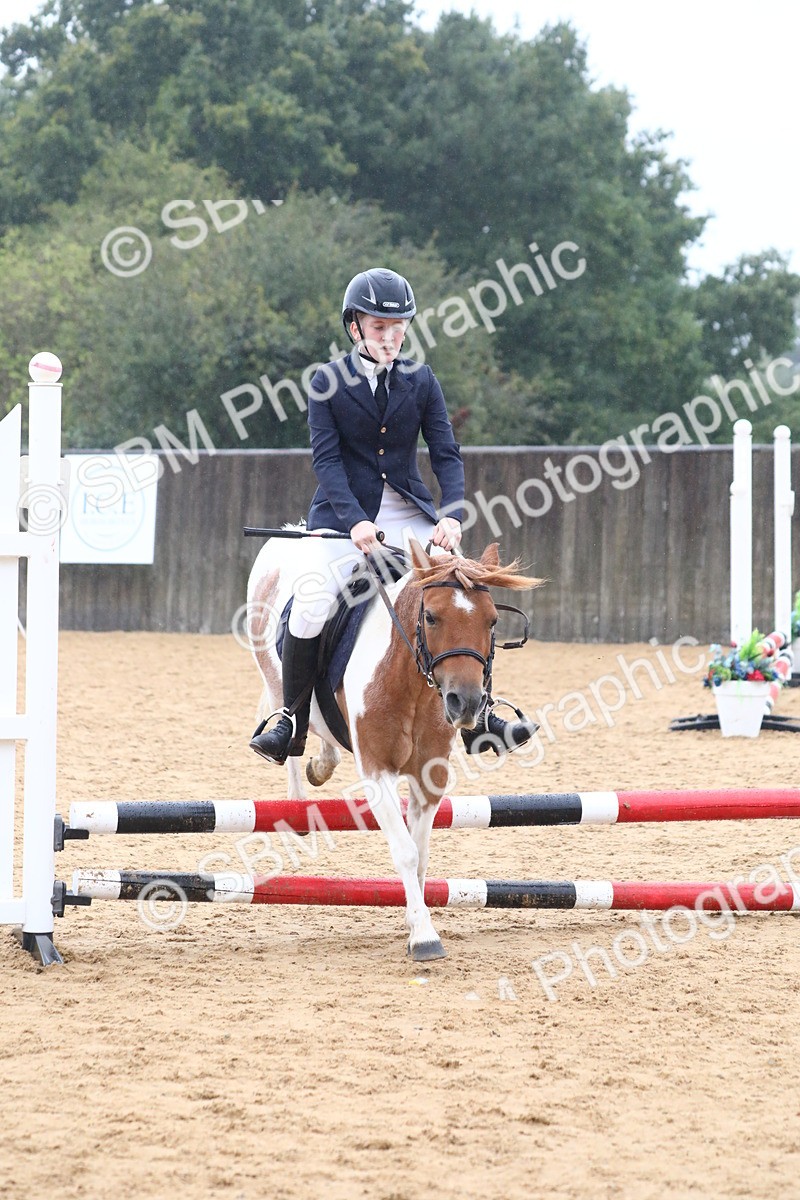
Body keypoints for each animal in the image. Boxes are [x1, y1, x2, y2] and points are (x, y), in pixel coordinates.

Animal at [247, 535, 541, 960]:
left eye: (492, 621)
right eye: (431, 617)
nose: (466, 704)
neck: (412, 684)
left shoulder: (430, 776)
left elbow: (420, 855)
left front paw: (415, 920)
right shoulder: (376, 773)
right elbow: (405, 851)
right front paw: (424, 937)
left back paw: (321, 766)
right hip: (273, 675)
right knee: (288, 716)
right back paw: (294, 786)